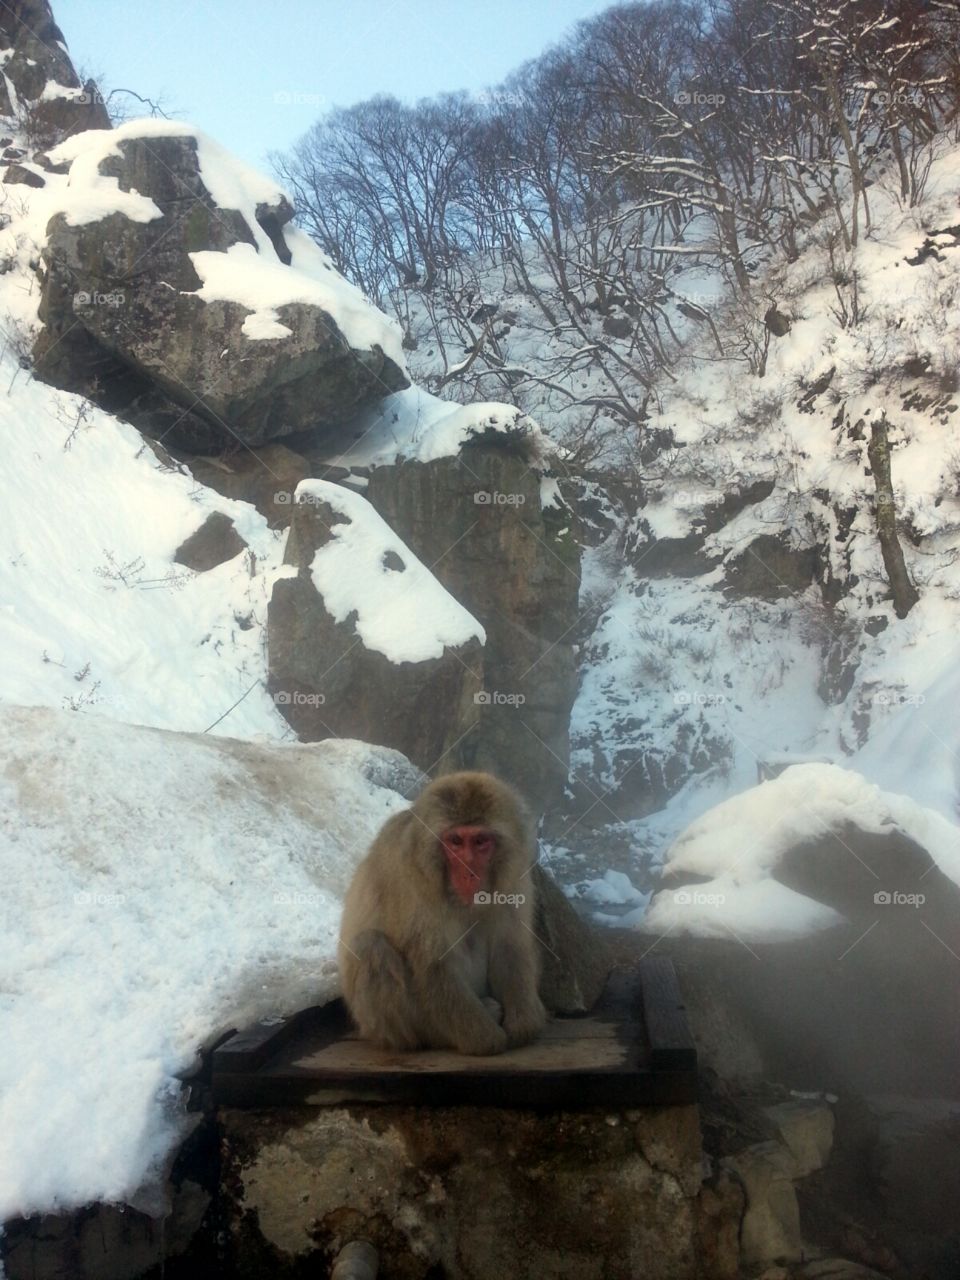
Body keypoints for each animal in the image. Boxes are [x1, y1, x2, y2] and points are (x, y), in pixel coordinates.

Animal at [338, 771, 547, 1056]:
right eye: (456, 841)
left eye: (480, 841)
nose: (469, 873)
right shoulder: (411, 876)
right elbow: (433, 964)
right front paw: (487, 1039)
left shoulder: (514, 876)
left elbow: (510, 946)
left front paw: (522, 1023)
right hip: (393, 1025)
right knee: (370, 946)